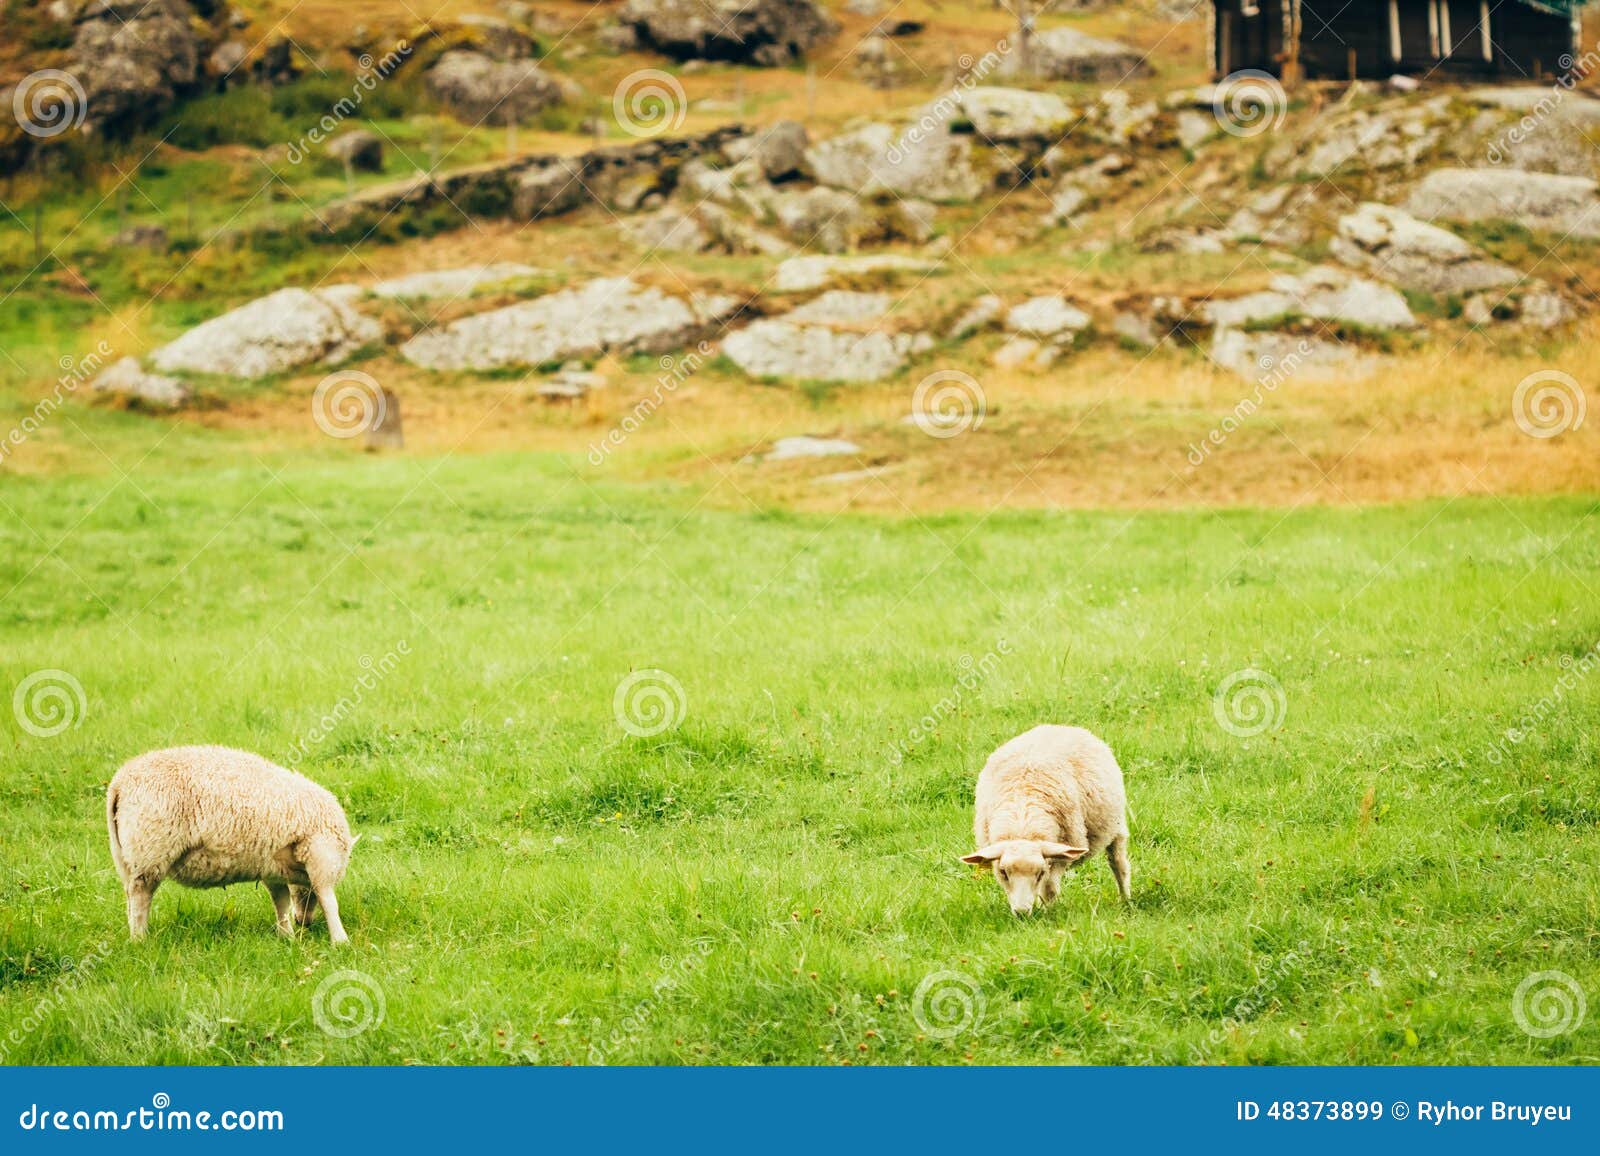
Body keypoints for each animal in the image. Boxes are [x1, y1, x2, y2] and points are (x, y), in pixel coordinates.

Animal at [108, 742, 358, 941]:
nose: (304, 922)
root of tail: (118, 783)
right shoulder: (321, 855)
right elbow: (328, 900)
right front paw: (340, 940)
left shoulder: (272, 867)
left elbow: (281, 902)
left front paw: (287, 937)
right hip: (150, 851)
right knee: (140, 898)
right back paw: (140, 940)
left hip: (126, 858)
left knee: (130, 899)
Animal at [953, 723, 1132, 915]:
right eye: (1003, 872)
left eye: (1040, 873)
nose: (1022, 913)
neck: (1022, 821)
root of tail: (1061, 726)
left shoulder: (1062, 854)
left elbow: (1049, 887)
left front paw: (1048, 912)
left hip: (1117, 828)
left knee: (1119, 864)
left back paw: (1126, 900)